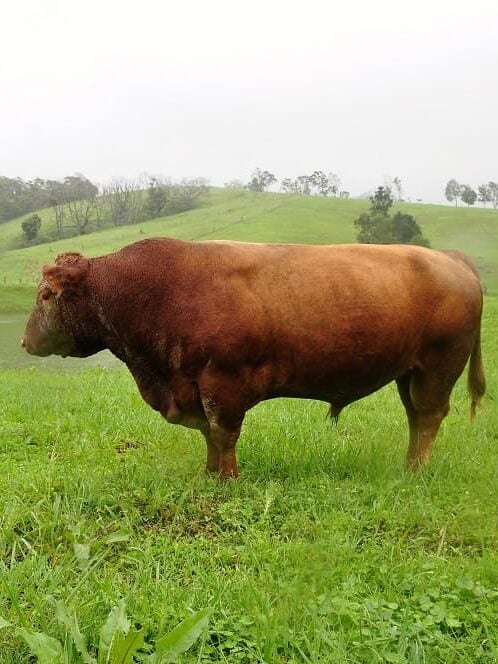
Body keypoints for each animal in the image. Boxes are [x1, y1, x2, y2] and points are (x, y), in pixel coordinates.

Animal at [22, 238, 486, 479]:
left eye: (45, 295)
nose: (25, 342)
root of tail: (450, 258)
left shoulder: (221, 384)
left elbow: (223, 433)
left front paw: (226, 479)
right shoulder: (193, 388)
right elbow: (208, 435)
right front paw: (210, 474)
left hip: (438, 369)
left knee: (429, 417)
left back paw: (418, 469)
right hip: (409, 373)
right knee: (415, 417)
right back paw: (407, 466)